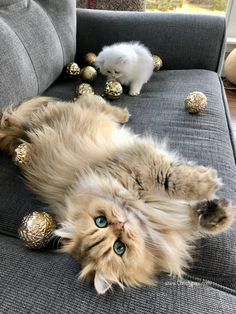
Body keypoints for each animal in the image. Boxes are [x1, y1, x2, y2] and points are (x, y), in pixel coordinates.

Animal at [0, 95, 234, 294]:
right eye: (119, 248)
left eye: (100, 221)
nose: (121, 225)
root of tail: (24, 132)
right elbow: (189, 207)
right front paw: (219, 210)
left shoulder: (141, 169)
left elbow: (177, 183)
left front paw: (210, 186)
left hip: (87, 113)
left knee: (89, 99)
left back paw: (122, 113)